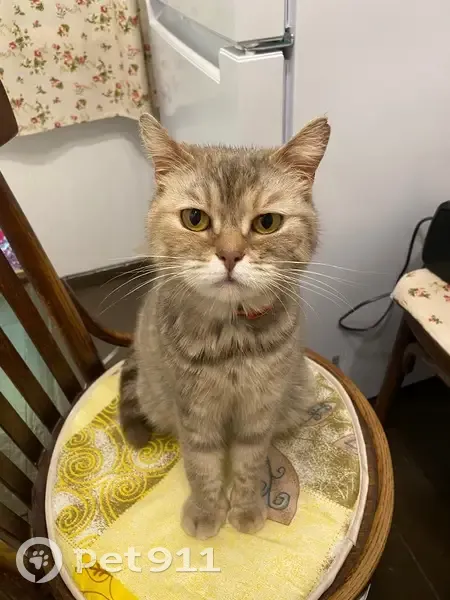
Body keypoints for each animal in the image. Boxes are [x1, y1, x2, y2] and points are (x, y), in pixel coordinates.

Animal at [119, 113, 330, 539]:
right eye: (194, 218)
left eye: (267, 223)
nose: (230, 255)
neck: (231, 339)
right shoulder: (194, 410)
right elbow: (201, 465)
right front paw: (205, 510)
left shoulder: (259, 410)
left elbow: (250, 462)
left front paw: (246, 508)